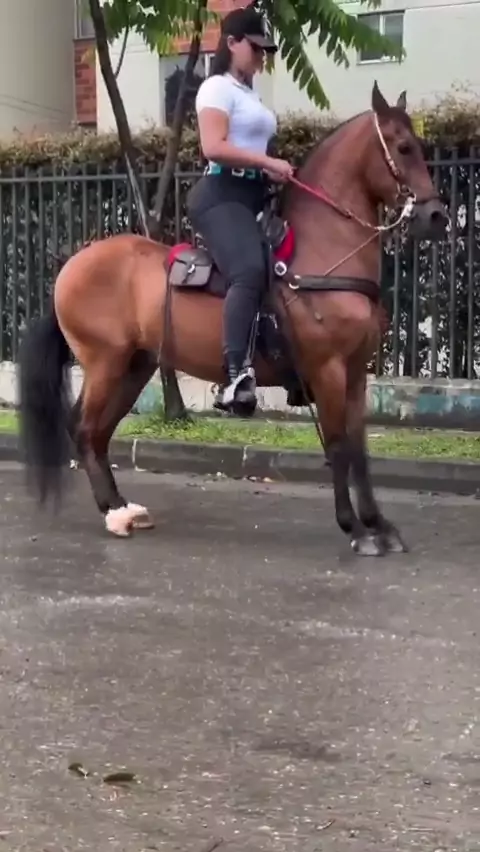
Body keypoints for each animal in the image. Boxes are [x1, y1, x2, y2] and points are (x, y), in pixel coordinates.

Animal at [18, 82, 448, 554]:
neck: (323, 254)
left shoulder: (355, 372)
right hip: (105, 363)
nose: (437, 216)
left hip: (135, 365)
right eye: (403, 147)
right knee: (83, 428)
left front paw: (378, 524)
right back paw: (113, 514)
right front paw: (354, 527)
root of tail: (72, 266)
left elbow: (359, 448)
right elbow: (338, 445)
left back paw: (123, 509)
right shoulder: (328, 369)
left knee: (98, 432)